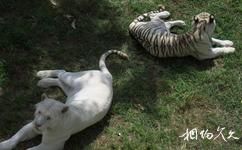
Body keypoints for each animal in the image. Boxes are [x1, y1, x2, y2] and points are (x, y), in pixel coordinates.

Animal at [0, 49, 129, 149]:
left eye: (49, 118)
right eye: (39, 112)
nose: (37, 124)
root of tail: (108, 77)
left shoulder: (50, 145)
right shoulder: (30, 126)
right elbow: (16, 136)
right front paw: (3, 145)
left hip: (71, 86)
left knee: (61, 75)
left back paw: (42, 80)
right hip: (72, 82)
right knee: (61, 73)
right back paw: (42, 77)